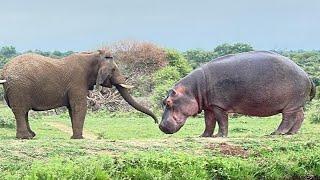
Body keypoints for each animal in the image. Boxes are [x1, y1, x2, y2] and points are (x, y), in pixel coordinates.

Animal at [0, 49, 158, 139]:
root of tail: (5, 70)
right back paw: (25, 138)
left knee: (23, 112)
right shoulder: (77, 82)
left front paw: (75, 137)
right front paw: (78, 138)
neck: (92, 55)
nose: (156, 123)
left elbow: (72, 108)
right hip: (19, 88)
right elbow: (79, 106)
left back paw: (31, 136)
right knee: (21, 111)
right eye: (113, 70)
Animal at [159, 50, 316, 137]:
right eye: (163, 101)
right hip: (297, 104)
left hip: (290, 105)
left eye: (168, 102)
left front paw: (219, 136)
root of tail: (306, 75)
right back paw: (291, 133)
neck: (192, 90)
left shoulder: (218, 106)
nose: (160, 126)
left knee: (288, 118)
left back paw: (277, 133)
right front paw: (203, 136)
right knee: (300, 116)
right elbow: (208, 122)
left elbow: (222, 121)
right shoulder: (209, 107)